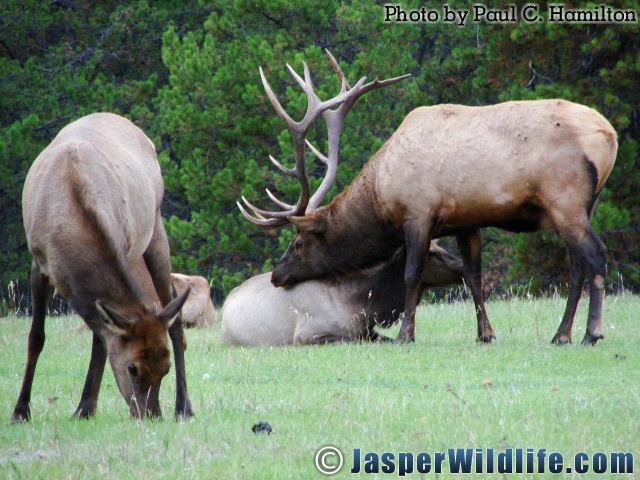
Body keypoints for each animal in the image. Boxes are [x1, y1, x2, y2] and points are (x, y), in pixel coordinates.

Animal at [12, 111, 192, 420]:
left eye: (165, 368)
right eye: (132, 367)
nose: (151, 414)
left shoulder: (124, 248)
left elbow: (100, 340)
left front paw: (85, 406)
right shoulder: (38, 261)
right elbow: (36, 337)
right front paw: (21, 411)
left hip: (155, 228)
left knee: (174, 316)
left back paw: (184, 406)